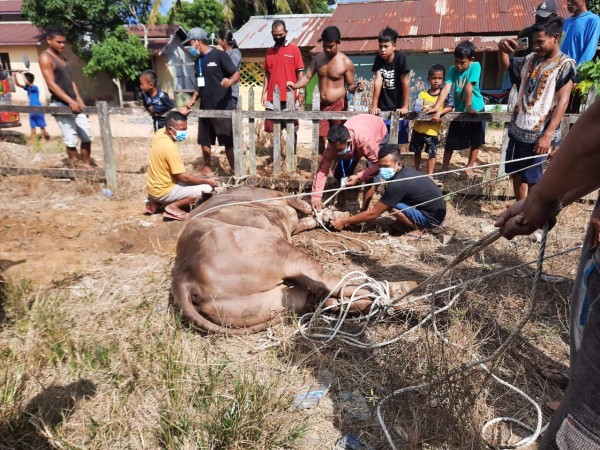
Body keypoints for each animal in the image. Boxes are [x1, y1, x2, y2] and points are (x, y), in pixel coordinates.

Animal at [170, 186, 408, 334]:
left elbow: (306, 220)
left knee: (318, 297)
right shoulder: (278, 195)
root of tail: (183, 276)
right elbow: (303, 204)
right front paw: (331, 214)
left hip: (271, 301)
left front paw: (327, 217)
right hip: (281, 252)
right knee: (329, 284)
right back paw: (397, 289)